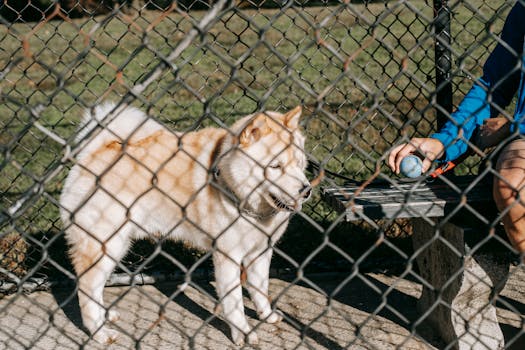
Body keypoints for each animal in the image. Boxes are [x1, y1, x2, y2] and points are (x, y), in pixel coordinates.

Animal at [59, 102, 310, 346]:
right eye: (275, 166)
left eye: (299, 164)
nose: (306, 190)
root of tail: (96, 149)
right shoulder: (228, 256)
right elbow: (235, 303)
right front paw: (243, 334)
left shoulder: (260, 252)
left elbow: (260, 289)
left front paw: (267, 316)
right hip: (105, 245)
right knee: (86, 288)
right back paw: (100, 332)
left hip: (116, 247)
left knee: (96, 287)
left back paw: (106, 317)